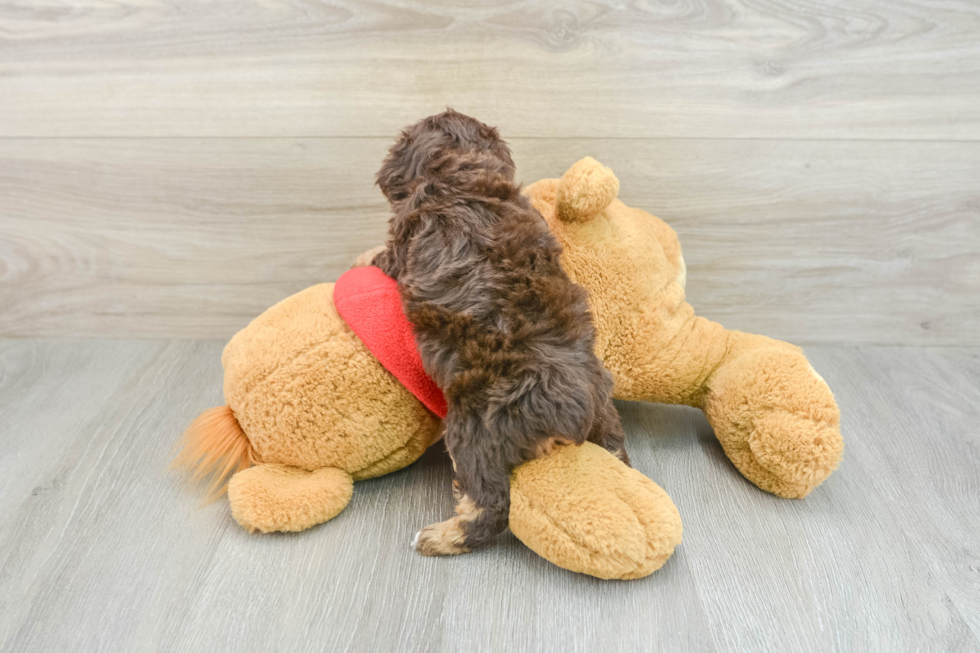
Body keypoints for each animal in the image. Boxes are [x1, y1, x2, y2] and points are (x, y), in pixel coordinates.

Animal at [372, 108, 624, 556]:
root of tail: (576, 413)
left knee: (490, 505)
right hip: (606, 415)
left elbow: (383, 256)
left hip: (473, 430)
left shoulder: (402, 242)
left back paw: (440, 537)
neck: (463, 167)